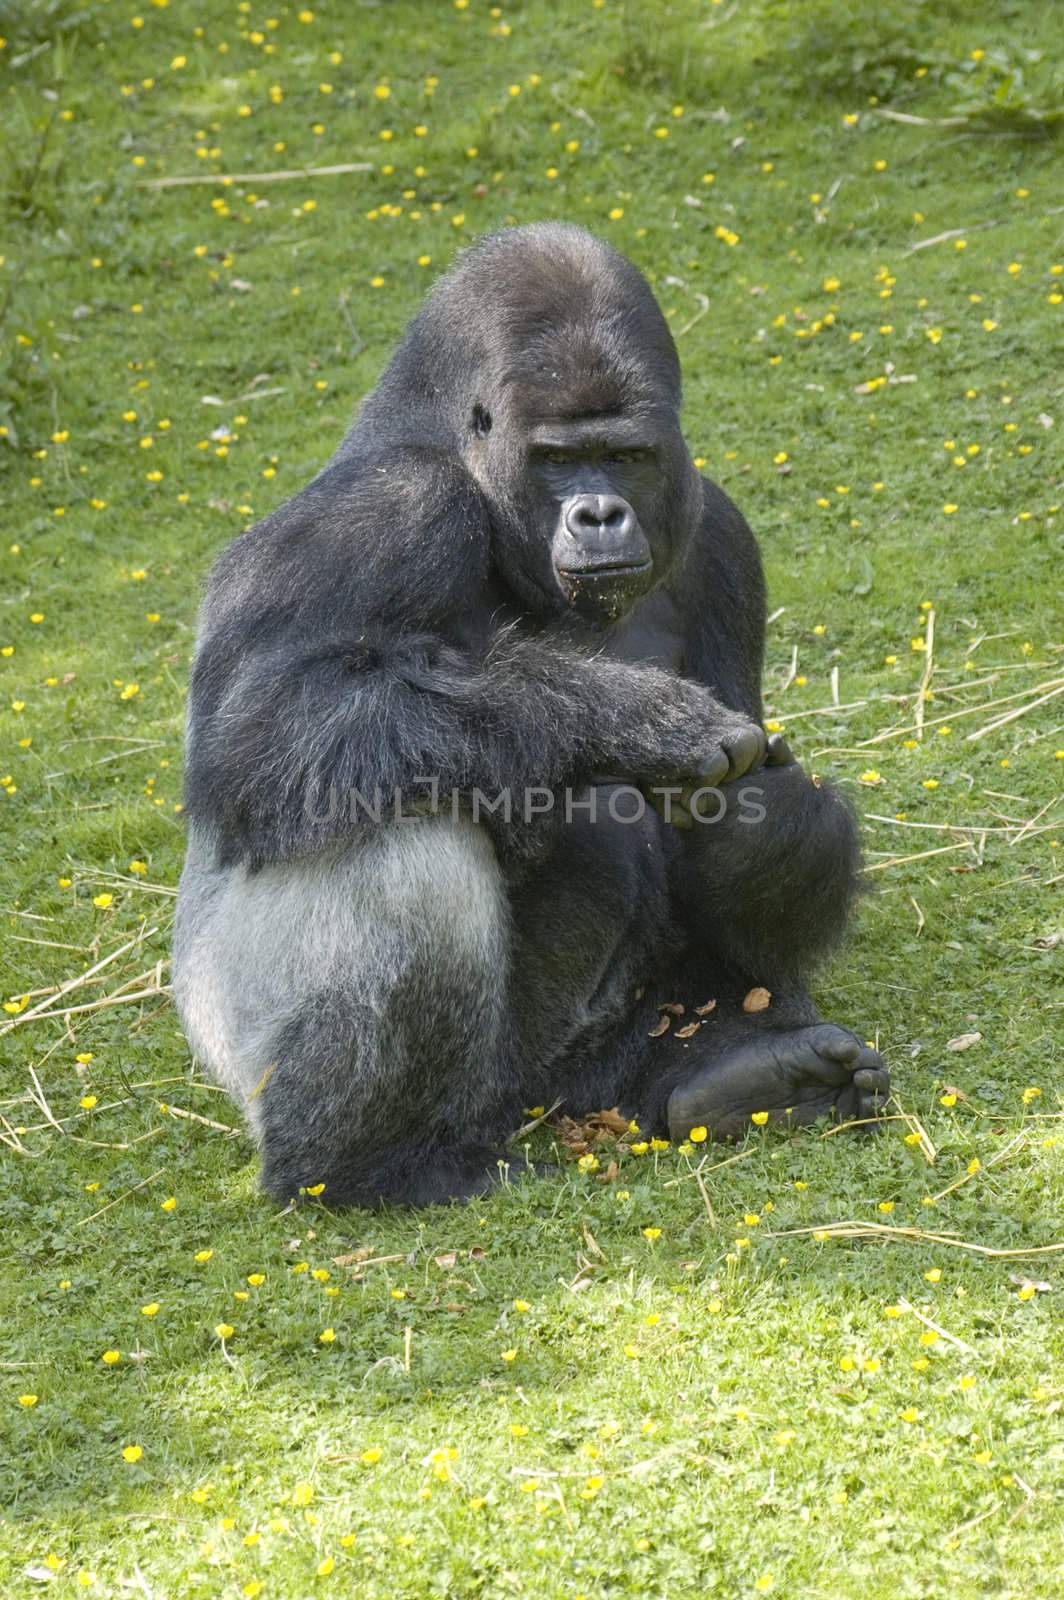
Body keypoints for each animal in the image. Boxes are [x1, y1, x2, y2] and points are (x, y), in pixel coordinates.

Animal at [174, 219, 889, 1203]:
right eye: (555, 460)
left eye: (624, 456)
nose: (599, 514)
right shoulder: (388, 508)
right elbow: (261, 730)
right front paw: (632, 720)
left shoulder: (720, 535)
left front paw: (769, 821)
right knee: (399, 828)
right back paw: (373, 1165)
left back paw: (735, 1074)